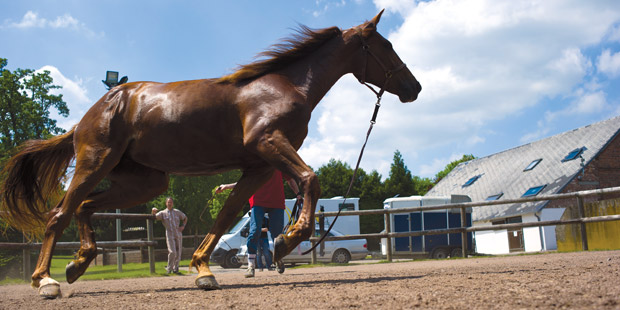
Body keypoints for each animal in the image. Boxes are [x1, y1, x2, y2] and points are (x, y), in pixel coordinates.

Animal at [0, 10, 422, 298]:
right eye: (386, 46)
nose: (414, 87)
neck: (286, 86)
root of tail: (91, 114)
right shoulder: (268, 143)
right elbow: (309, 179)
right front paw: (287, 241)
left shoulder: (257, 166)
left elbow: (228, 215)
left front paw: (204, 268)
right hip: (94, 163)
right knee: (60, 214)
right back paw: (46, 279)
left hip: (145, 182)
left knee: (86, 207)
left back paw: (78, 263)